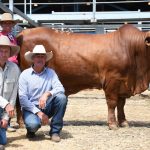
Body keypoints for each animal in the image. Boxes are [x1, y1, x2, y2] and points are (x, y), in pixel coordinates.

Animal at [16, 24, 150, 129]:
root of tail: (23, 32)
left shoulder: (123, 82)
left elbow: (121, 104)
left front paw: (123, 122)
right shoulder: (112, 80)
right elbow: (112, 103)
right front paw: (112, 124)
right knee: (20, 99)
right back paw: (22, 122)